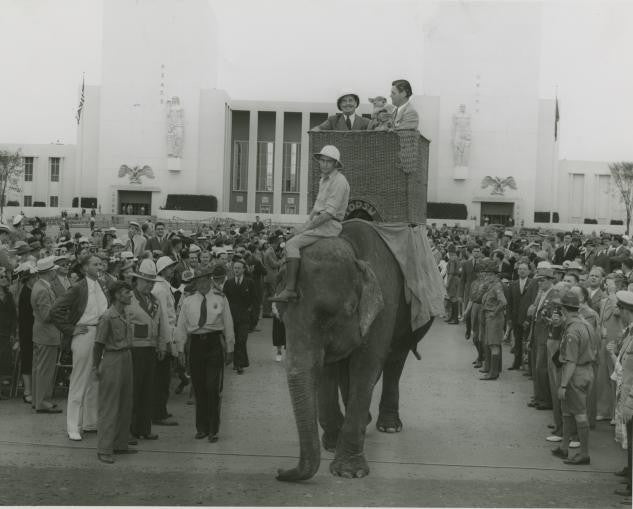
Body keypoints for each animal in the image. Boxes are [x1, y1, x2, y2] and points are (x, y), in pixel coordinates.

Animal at [276, 218, 434, 480]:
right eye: (282, 319)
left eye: (329, 316)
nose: (280, 471)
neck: (351, 248)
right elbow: (328, 369)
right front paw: (331, 444)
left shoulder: (385, 303)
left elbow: (366, 365)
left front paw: (349, 472)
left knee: (394, 360)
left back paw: (389, 426)